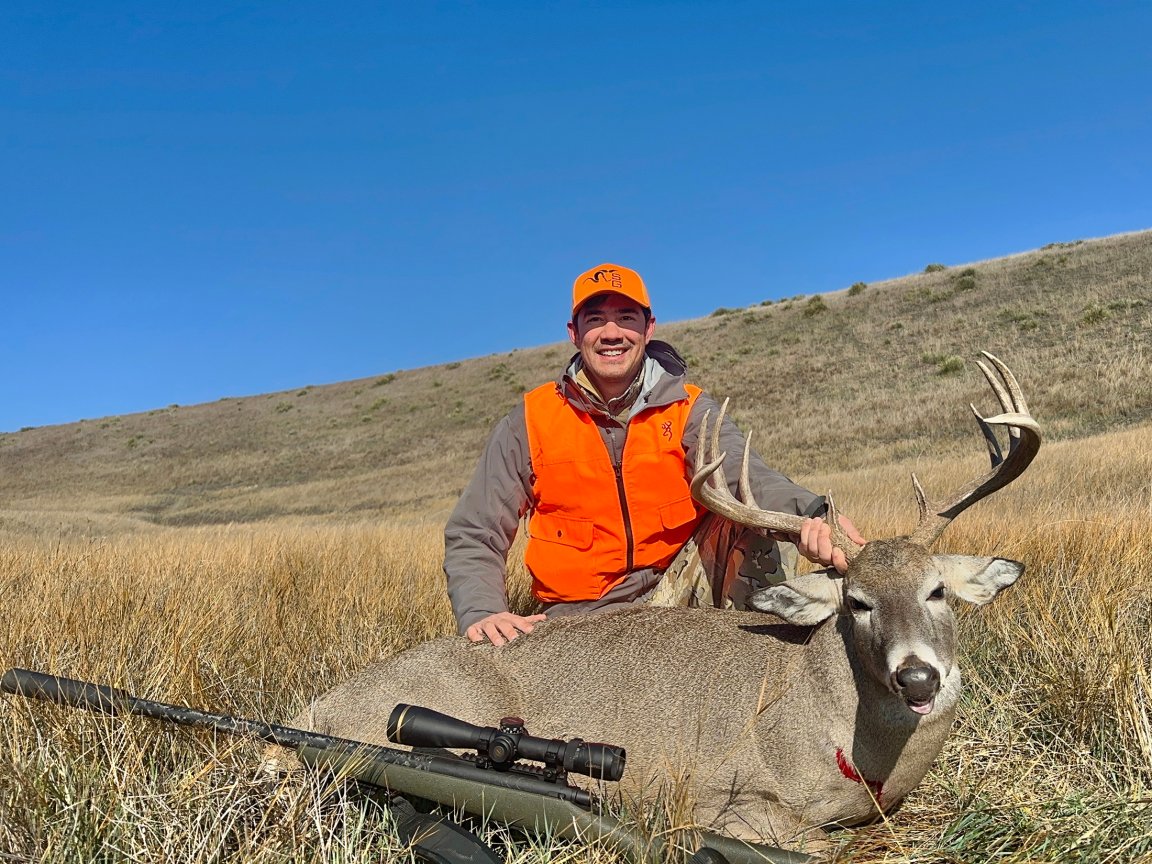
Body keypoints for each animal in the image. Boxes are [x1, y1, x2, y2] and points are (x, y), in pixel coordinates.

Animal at [283, 352, 1040, 852]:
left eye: (935, 590)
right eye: (856, 602)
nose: (918, 676)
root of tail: (314, 709)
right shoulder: (717, 797)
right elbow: (814, 843)